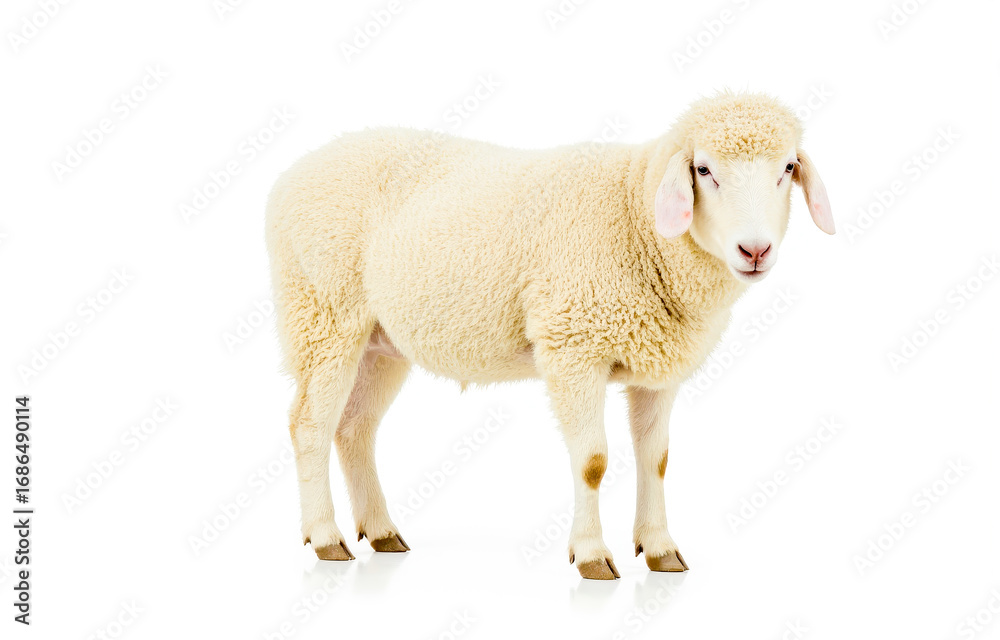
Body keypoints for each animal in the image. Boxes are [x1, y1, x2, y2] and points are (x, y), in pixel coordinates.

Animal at [265, 90, 834, 580]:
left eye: (787, 168)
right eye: (704, 169)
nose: (754, 250)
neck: (636, 215)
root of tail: (292, 174)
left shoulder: (656, 368)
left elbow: (657, 459)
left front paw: (660, 549)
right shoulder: (573, 345)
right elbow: (593, 462)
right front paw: (591, 555)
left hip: (380, 341)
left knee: (354, 429)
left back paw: (381, 531)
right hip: (323, 312)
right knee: (310, 427)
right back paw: (325, 537)